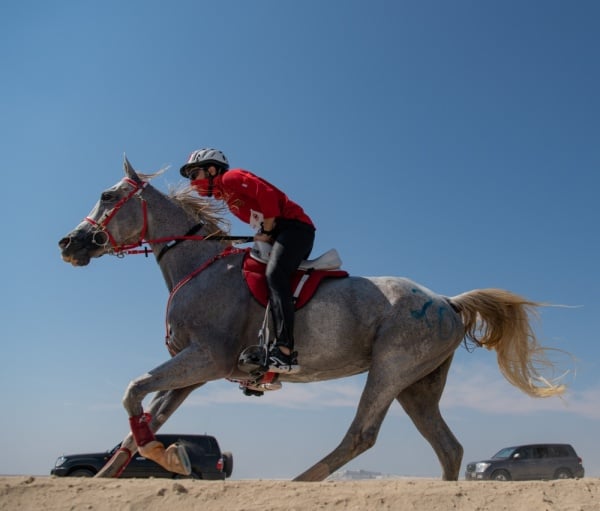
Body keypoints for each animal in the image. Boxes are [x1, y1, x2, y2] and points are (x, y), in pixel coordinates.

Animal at [57, 158, 568, 482]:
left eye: (107, 195)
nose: (69, 243)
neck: (198, 266)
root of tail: (445, 300)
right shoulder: (192, 372)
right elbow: (141, 425)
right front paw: (151, 462)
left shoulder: (205, 358)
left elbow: (132, 392)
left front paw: (171, 457)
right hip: (418, 386)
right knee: (448, 447)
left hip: (391, 367)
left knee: (361, 435)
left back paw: (300, 480)